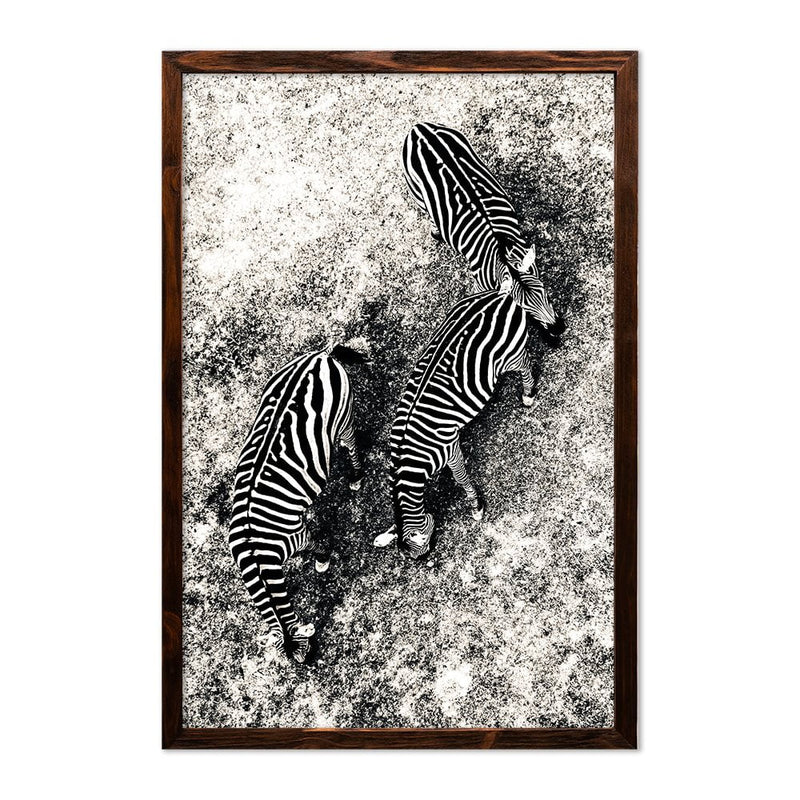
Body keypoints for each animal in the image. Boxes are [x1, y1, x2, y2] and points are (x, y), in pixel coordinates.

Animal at [228, 344, 367, 663]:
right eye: (296, 659)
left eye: (306, 652)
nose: (311, 666)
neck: (257, 555)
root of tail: (320, 356)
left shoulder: (296, 534)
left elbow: (315, 543)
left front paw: (322, 560)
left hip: (343, 416)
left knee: (351, 443)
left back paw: (356, 477)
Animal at [374, 283, 561, 557]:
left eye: (421, 551)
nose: (428, 560)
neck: (411, 460)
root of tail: (500, 293)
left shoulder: (450, 448)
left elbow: (461, 479)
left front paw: (476, 507)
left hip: (510, 356)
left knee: (526, 365)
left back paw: (528, 394)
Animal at [402, 121, 565, 346]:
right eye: (524, 310)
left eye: (546, 293)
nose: (559, 328)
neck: (501, 254)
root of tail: (419, 128)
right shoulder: (482, 285)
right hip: (417, 194)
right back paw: (436, 232)